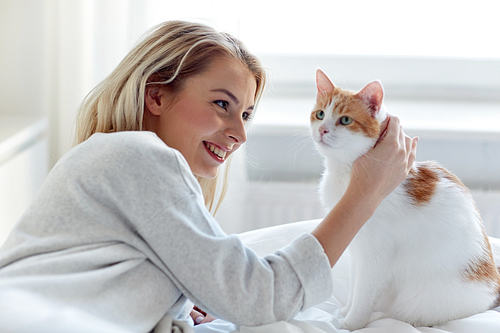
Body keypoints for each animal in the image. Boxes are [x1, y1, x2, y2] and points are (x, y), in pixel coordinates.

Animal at [310, 67, 498, 330]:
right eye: (320, 114)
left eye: (345, 120)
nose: (322, 130)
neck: (345, 173)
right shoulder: (356, 244)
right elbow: (355, 283)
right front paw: (345, 311)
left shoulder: (376, 254)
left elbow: (364, 291)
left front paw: (350, 323)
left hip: (421, 300)